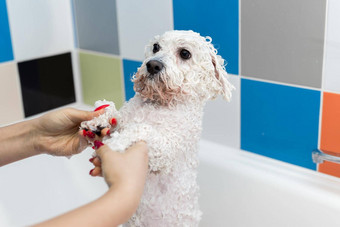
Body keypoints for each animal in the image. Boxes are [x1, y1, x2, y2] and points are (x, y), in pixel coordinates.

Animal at [80, 30, 234, 227]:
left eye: (185, 53)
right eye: (156, 47)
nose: (153, 65)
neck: (158, 104)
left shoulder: (166, 150)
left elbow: (141, 128)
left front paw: (117, 142)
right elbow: (117, 116)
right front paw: (99, 120)